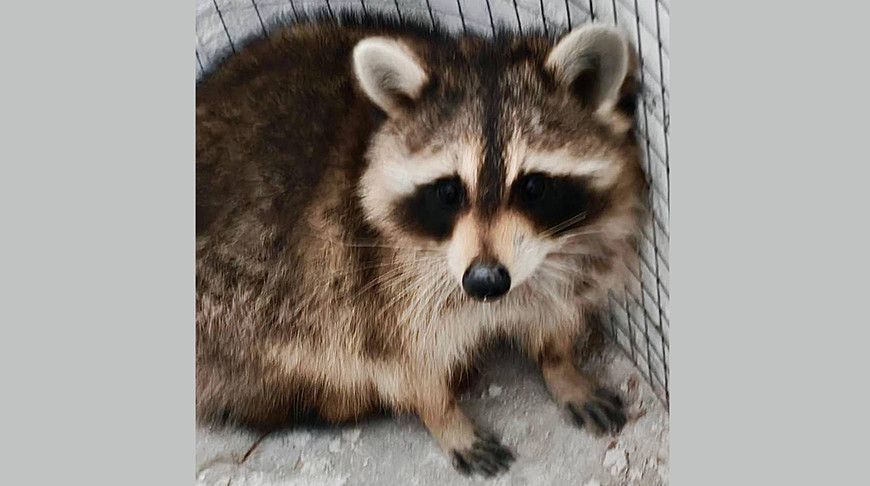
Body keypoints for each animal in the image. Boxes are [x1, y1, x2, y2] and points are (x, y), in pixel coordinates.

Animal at [196, 12, 647, 476]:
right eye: (449, 191)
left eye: (533, 187)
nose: (485, 282)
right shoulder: (372, 281)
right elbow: (404, 363)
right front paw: (444, 417)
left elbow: (553, 310)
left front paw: (561, 366)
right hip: (232, 314)